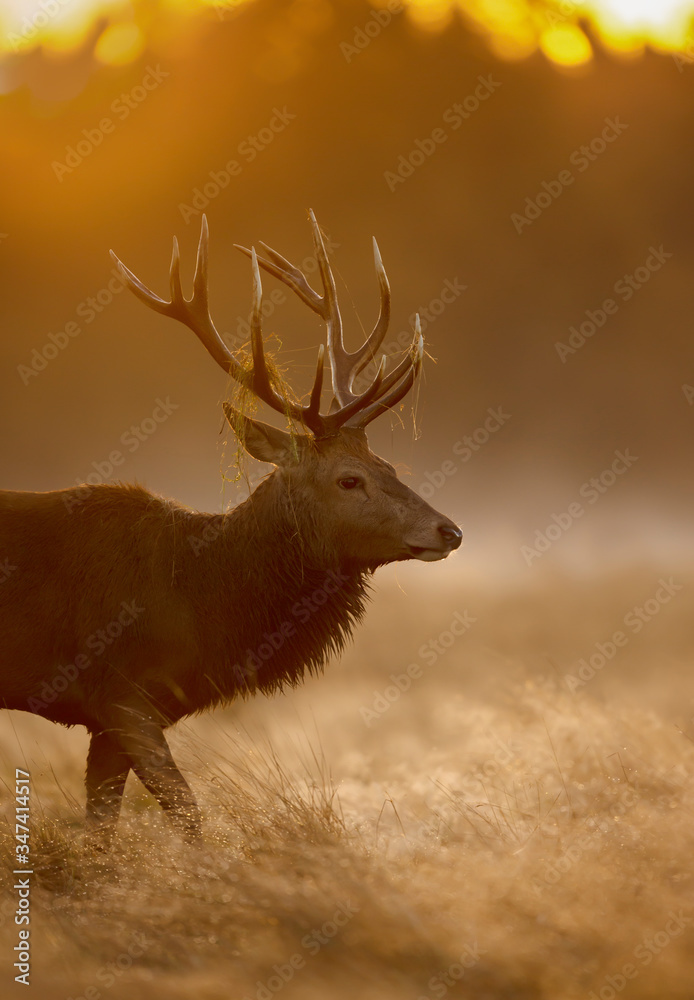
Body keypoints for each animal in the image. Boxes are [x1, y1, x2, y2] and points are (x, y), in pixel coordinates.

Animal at [0, 212, 462, 848]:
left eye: (390, 466)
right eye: (349, 480)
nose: (449, 531)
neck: (199, 601)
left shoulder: (106, 716)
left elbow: (102, 828)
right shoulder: (120, 693)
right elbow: (187, 813)